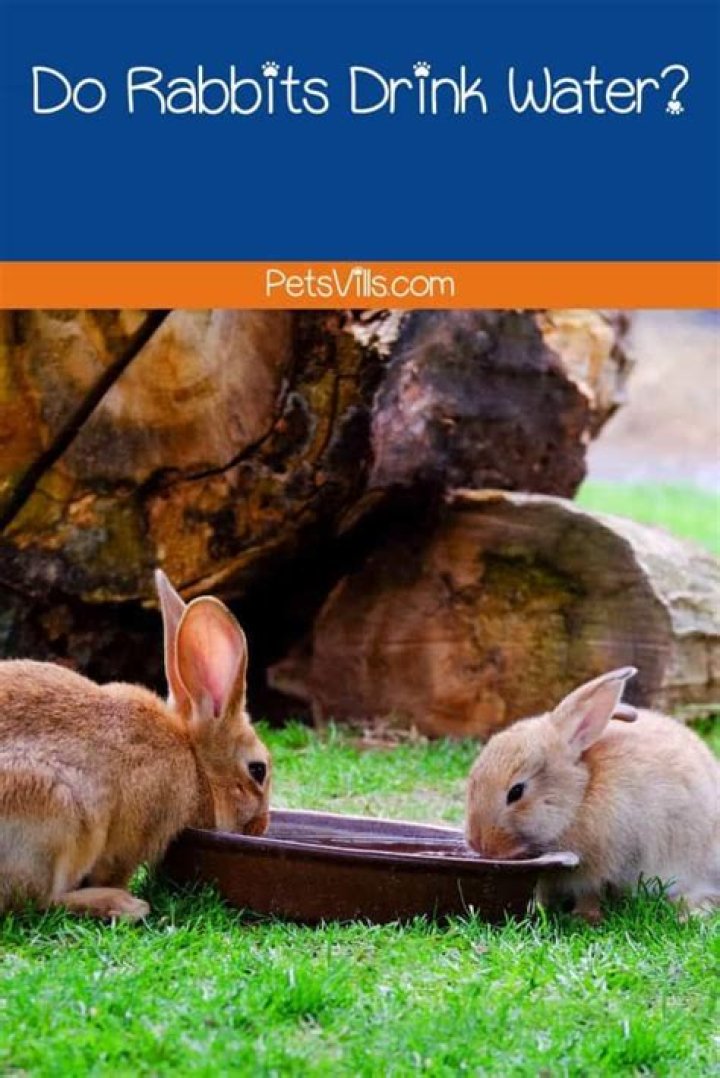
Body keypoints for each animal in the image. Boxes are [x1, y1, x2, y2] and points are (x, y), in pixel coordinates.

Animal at [0, 570, 271, 922]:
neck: (193, 760)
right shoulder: (136, 832)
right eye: (258, 770)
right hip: (56, 814)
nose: (261, 827)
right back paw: (124, 905)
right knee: (35, 900)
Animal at [466, 668, 720, 922]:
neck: (579, 798)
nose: (480, 845)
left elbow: (591, 892)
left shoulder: (602, 867)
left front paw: (584, 917)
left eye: (516, 792)